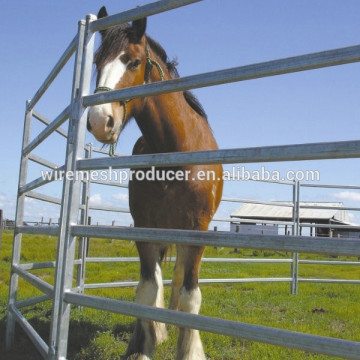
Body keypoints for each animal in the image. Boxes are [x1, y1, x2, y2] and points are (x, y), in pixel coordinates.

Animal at [87, 6, 222, 360]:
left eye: (133, 61)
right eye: (97, 62)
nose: (99, 121)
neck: (175, 153)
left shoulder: (197, 230)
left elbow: (189, 294)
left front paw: (189, 349)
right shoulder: (145, 226)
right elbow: (147, 289)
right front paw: (143, 345)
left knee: (177, 278)